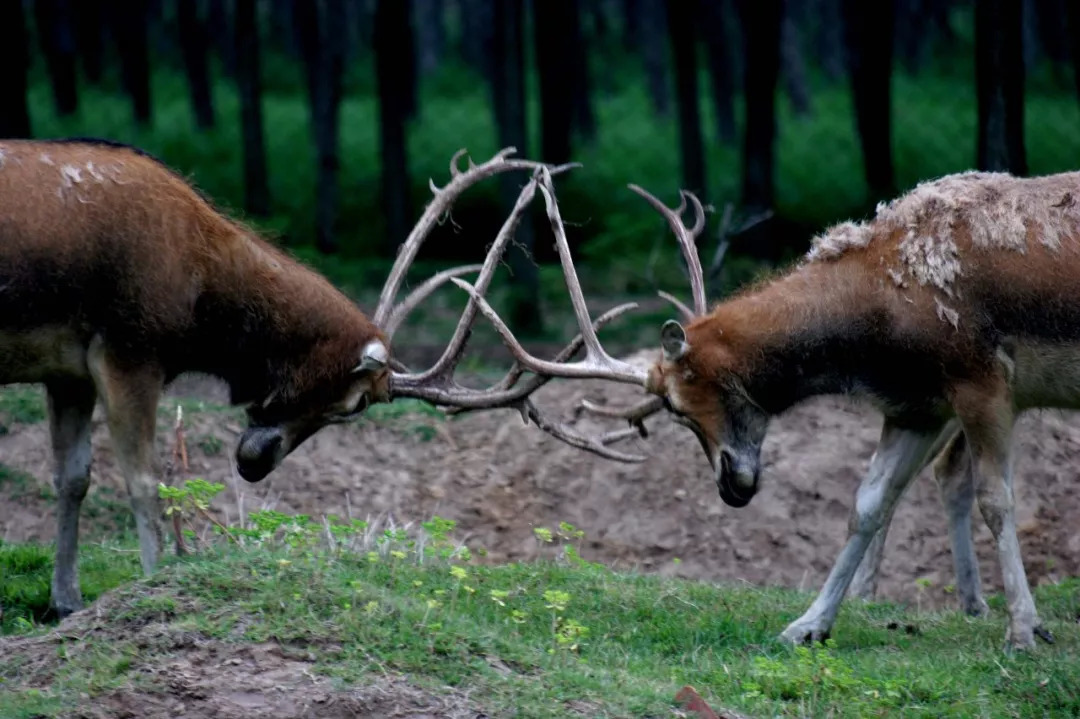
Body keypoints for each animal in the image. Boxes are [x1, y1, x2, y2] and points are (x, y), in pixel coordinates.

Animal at [0, 138, 639, 617]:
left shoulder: (69, 370)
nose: (254, 463)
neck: (199, 301)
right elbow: (145, 481)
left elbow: (73, 478)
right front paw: (153, 583)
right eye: (355, 404)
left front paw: (66, 601)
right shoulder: (129, 346)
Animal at [462, 169, 1080, 647]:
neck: (880, 324)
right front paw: (808, 625)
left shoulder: (983, 381)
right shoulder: (917, 405)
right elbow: (867, 503)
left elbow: (997, 501)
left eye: (679, 405)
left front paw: (1024, 630)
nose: (730, 485)